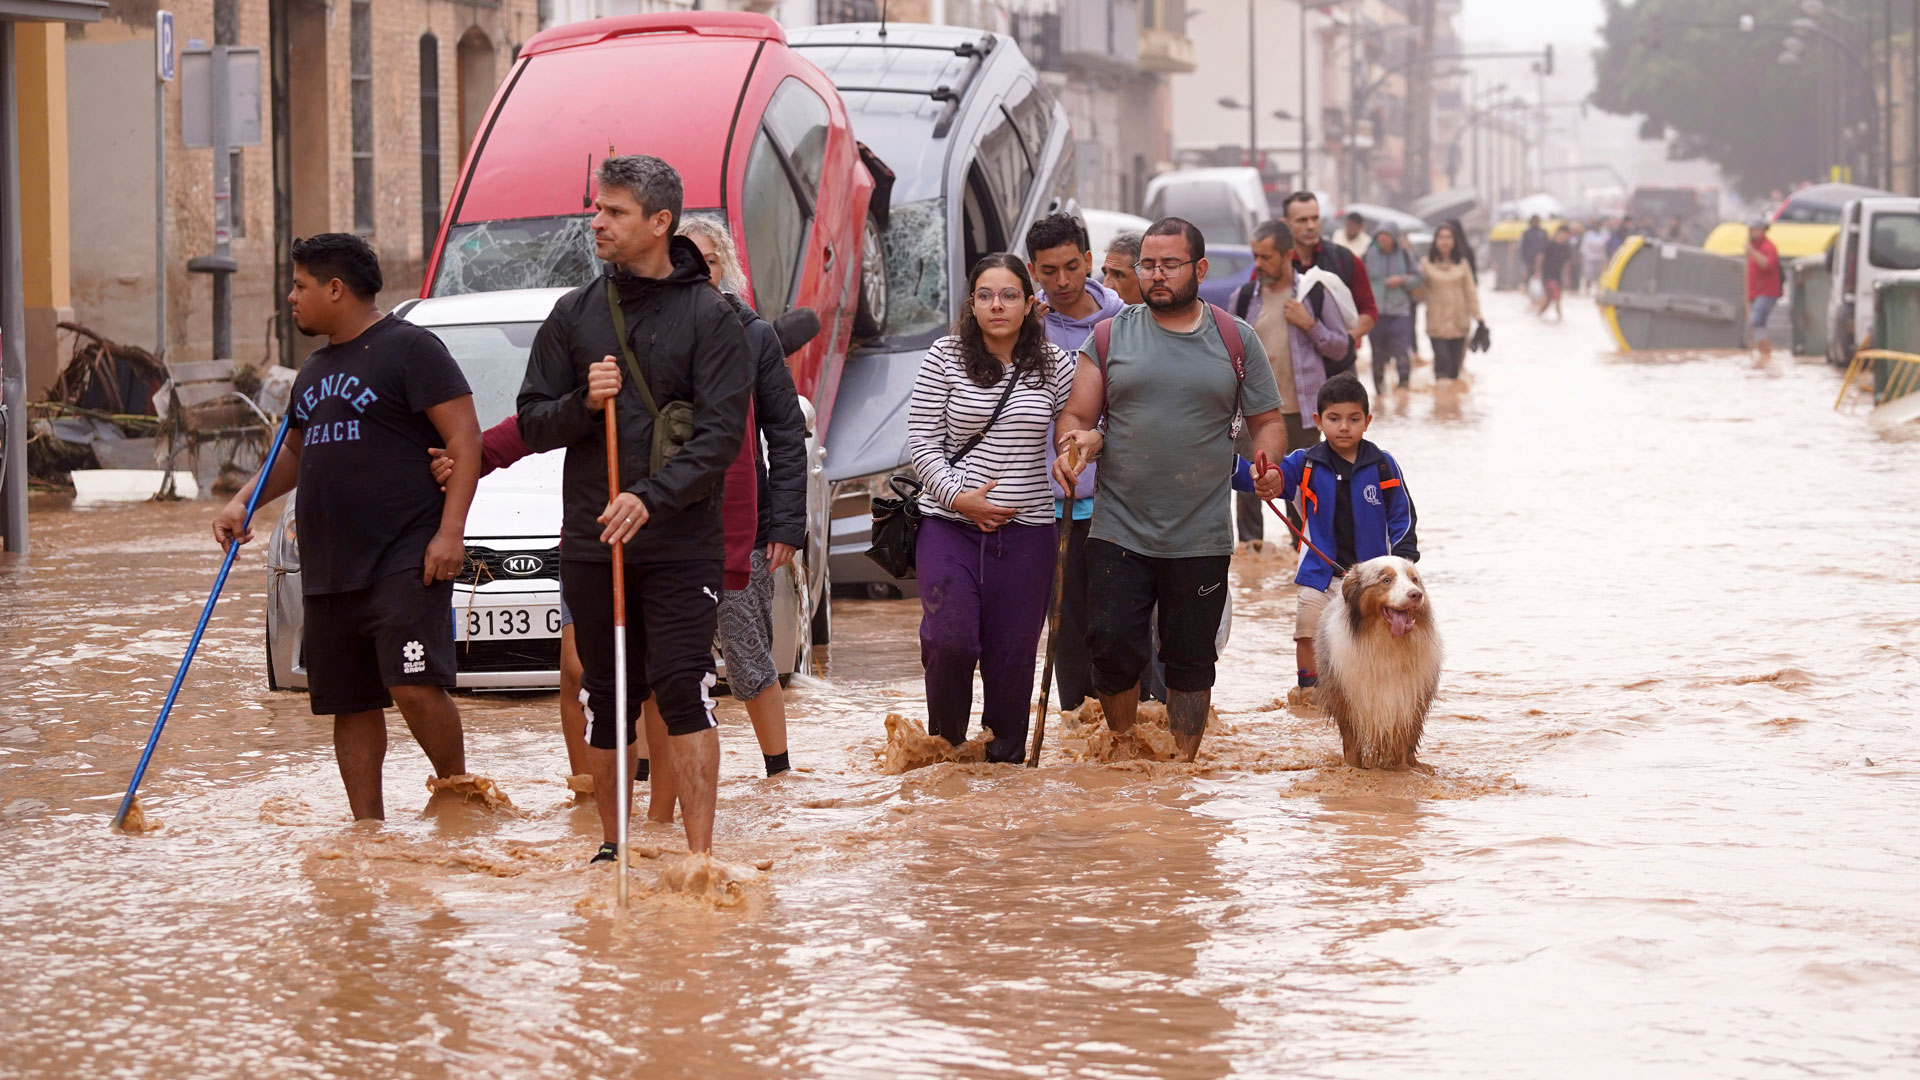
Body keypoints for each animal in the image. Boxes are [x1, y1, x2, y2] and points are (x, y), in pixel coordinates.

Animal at [1320, 553, 1443, 764]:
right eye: (1386, 580)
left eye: (1414, 579)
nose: (1416, 594)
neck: (1388, 642)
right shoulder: (1347, 702)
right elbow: (1352, 747)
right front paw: (1353, 767)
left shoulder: (1409, 704)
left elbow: (1404, 746)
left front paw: (1406, 769)